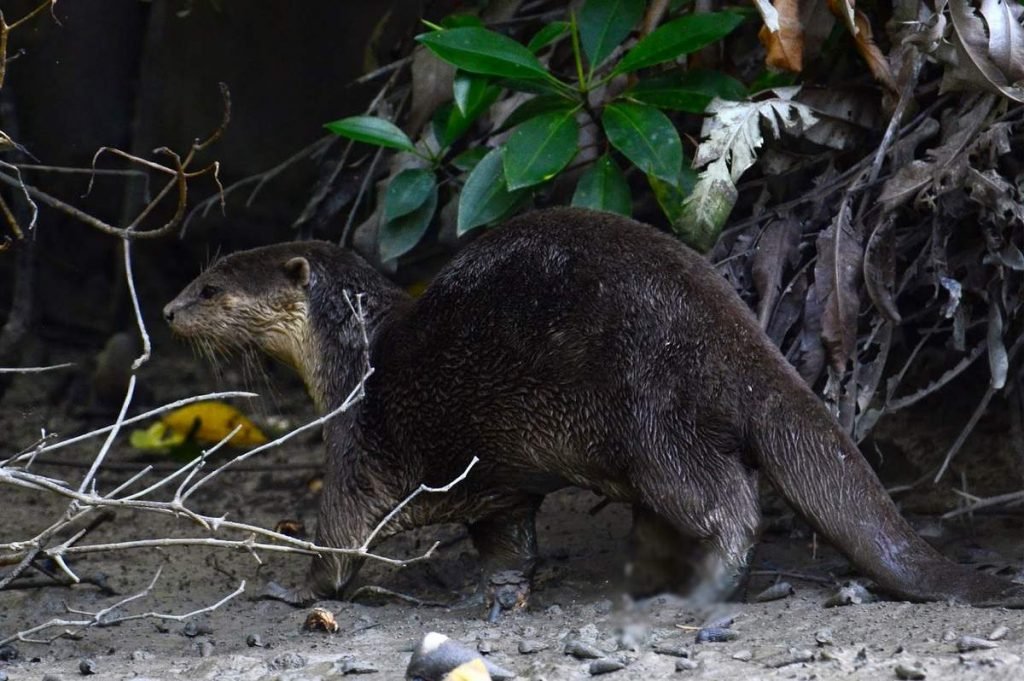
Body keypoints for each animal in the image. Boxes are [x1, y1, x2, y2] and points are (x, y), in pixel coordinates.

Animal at [163, 205, 1024, 606]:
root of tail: (737, 336)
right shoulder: (496, 480)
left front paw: (298, 587)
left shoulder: (356, 433)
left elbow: (342, 535)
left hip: (649, 416)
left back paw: (698, 585)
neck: (355, 350)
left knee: (726, 500)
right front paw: (494, 584)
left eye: (210, 286)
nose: (169, 308)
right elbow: (504, 531)